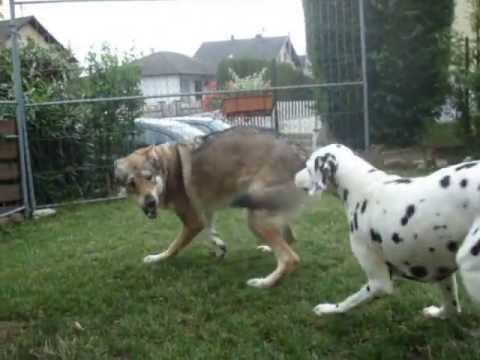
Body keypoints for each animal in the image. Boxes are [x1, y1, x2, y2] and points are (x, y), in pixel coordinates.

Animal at [115, 128, 308, 288]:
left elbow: (173, 247)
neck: (167, 170)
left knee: (290, 258)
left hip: (255, 218)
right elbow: (209, 233)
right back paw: (267, 250)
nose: (150, 202)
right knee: (290, 239)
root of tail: (303, 155)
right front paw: (219, 249)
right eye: (131, 184)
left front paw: (157, 259)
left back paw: (263, 283)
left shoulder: (192, 222)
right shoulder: (204, 213)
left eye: (149, 178)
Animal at [296, 143, 480, 318]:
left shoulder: (379, 283)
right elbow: (451, 307)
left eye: (307, 166)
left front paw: (328, 310)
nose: (295, 176)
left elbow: (350, 300)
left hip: (468, 264)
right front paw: (438, 314)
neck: (363, 186)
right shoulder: (442, 271)